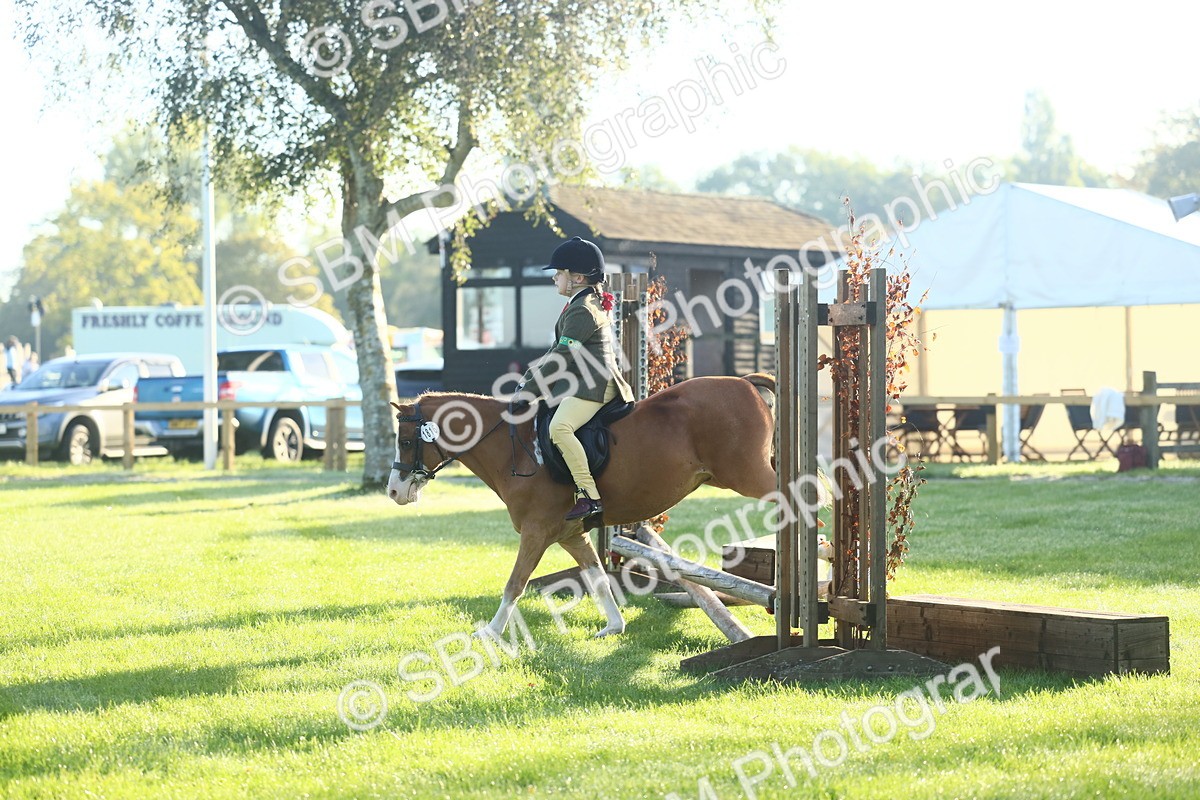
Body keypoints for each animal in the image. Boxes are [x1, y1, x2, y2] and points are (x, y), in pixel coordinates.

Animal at [386, 373, 783, 639]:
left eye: (405, 441)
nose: (393, 491)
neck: (513, 446)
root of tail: (744, 382)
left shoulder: (535, 532)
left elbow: (515, 584)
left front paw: (491, 633)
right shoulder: (570, 534)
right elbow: (598, 579)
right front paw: (614, 626)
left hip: (748, 474)